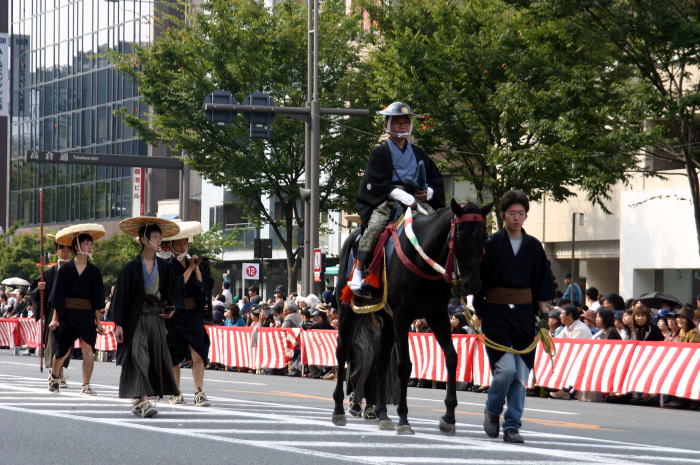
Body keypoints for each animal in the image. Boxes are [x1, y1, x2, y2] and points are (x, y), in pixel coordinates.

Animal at [330, 199, 490, 436]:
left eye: (484, 237)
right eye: (460, 235)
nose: (473, 284)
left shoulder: (437, 315)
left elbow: (452, 357)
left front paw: (449, 417)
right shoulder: (402, 316)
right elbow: (404, 365)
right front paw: (404, 419)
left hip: (386, 321)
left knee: (380, 361)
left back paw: (382, 415)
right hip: (348, 310)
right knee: (342, 352)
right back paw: (339, 410)